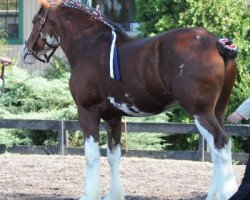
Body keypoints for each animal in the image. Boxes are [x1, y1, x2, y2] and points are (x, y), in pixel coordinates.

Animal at [21, 0, 238, 199]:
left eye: (35, 21)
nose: (25, 53)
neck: (90, 45)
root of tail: (216, 42)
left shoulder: (87, 111)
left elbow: (92, 157)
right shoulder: (113, 117)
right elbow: (113, 156)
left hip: (200, 112)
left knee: (220, 144)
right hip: (217, 111)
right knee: (217, 150)